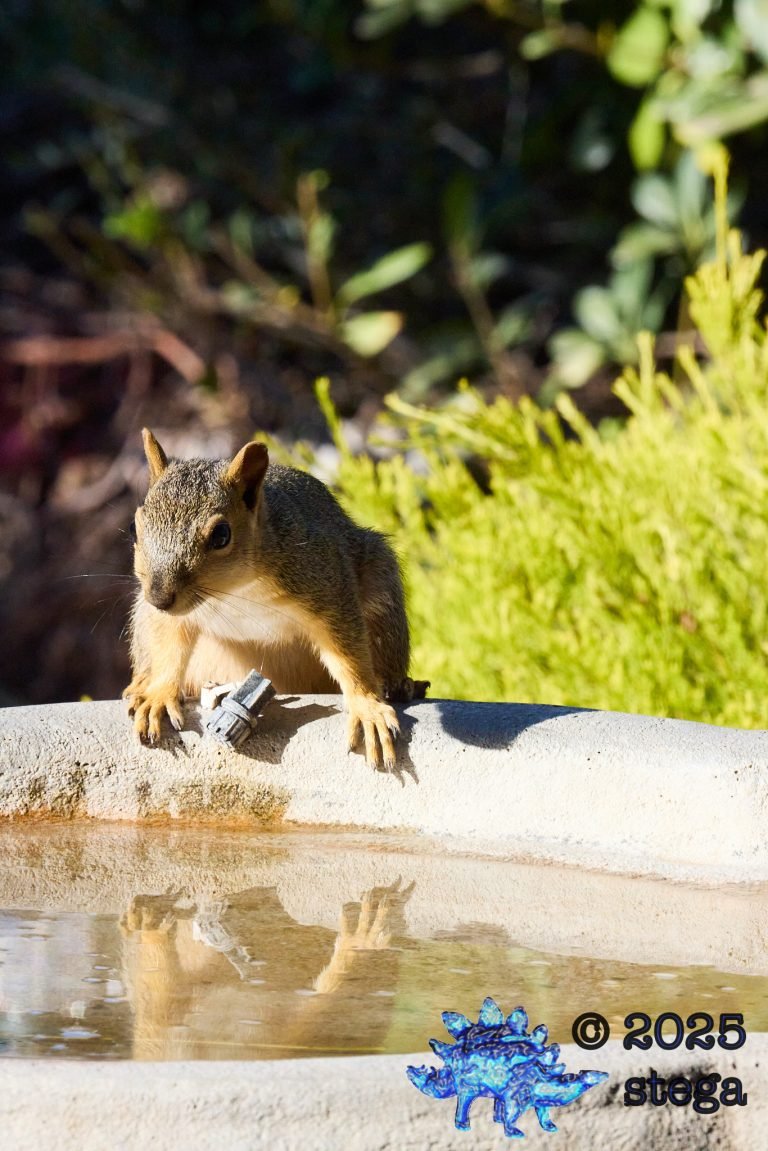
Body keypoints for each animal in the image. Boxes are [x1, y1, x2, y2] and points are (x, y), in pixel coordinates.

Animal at [124, 428, 428, 769]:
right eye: (135, 527)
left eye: (221, 535)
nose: (159, 598)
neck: (233, 593)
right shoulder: (170, 616)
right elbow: (167, 647)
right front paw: (159, 694)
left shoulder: (324, 582)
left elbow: (348, 653)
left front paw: (366, 705)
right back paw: (140, 684)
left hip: (381, 587)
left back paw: (399, 685)